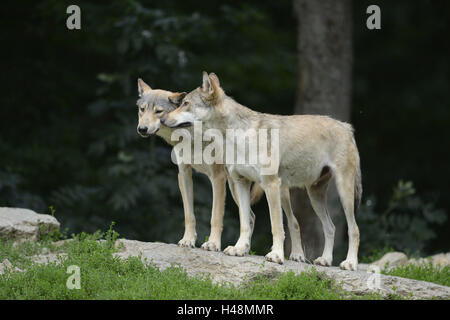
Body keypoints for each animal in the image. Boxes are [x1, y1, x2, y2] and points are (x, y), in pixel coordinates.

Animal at [135, 79, 306, 262]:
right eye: (142, 109)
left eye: (158, 111)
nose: (142, 129)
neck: (193, 137)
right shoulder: (184, 174)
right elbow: (189, 215)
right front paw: (188, 240)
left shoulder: (217, 177)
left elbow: (215, 216)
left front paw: (212, 244)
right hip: (236, 186)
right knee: (251, 217)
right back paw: (243, 249)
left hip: (274, 192)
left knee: (293, 222)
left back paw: (297, 255)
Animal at [162, 72, 362, 270]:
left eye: (186, 103)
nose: (163, 119)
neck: (238, 136)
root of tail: (346, 126)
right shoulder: (240, 183)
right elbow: (245, 222)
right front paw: (239, 249)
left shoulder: (270, 185)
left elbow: (276, 226)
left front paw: (276, 255)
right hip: (314, 196)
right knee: (331, 227)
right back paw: (325, 260)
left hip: (342, 193)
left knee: (353, 229)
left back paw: (350, 263)